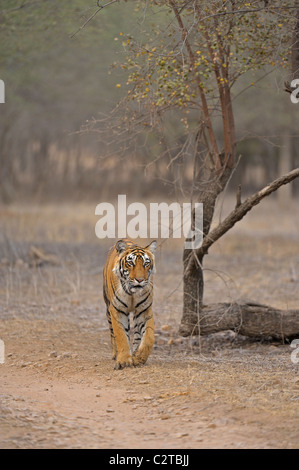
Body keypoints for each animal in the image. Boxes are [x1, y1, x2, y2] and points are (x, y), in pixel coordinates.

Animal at [103, 241, 157, 370]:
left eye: (146, 263)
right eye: (130, 263)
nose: (140, 280)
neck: (132, 294)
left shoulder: (144, 311)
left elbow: (149, 338)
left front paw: (139, 358)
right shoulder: (117, 310)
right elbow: (121, 336)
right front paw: (123, 361)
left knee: (137, 335)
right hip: (108, 309)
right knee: (112, 333)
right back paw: (116, 354)